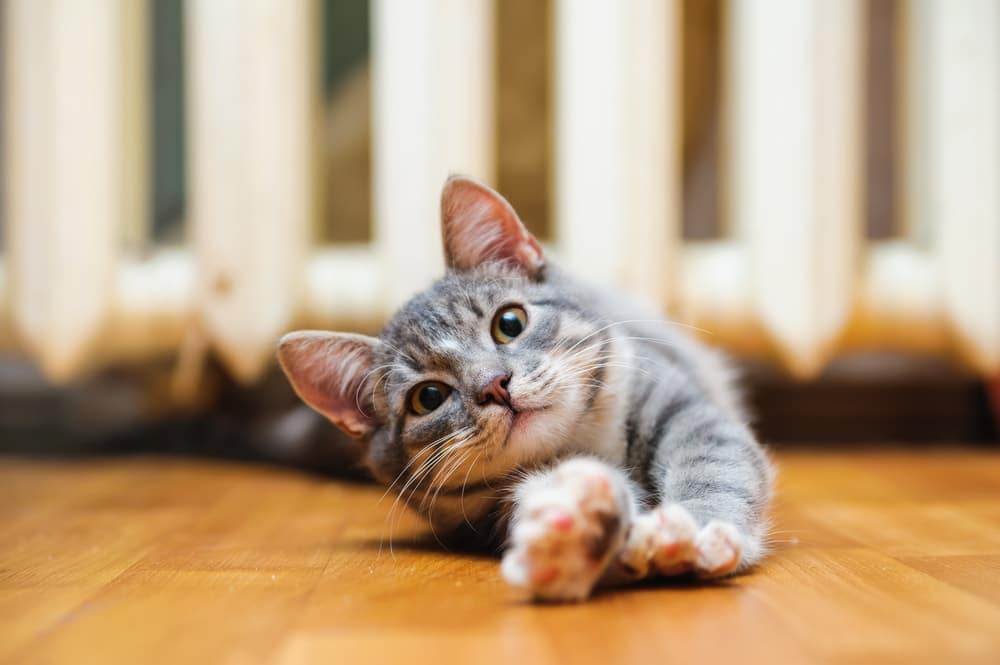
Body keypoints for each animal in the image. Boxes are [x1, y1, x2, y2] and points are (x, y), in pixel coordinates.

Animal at [278, 176, 776, 600]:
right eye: (428, 398)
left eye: (509, 323)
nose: (494, 386)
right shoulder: (495, 510)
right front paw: (582, 531)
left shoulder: (684, 408)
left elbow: (714, 463)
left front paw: (699, 528)